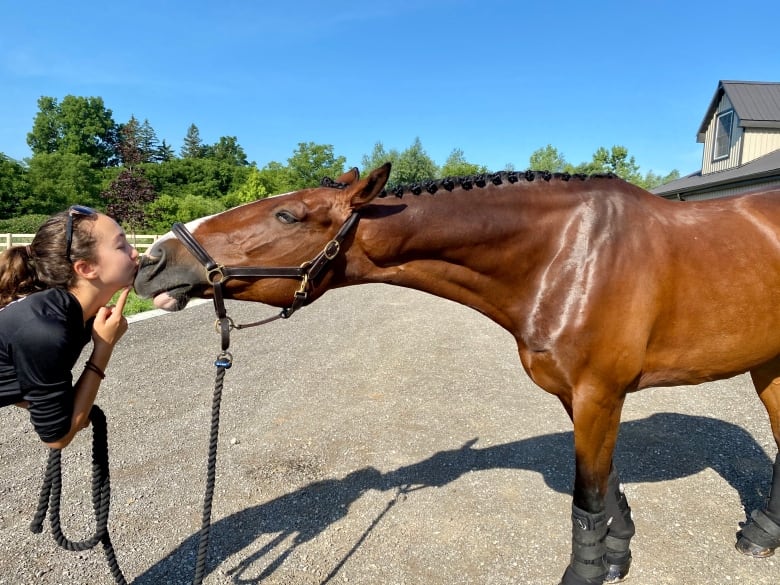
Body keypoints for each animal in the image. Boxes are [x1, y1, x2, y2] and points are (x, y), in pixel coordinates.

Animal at [134, 161, 780, 584]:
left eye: (288, 213)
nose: (154, 259)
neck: (569, 254)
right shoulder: (582, 397)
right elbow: (607, 483)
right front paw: (618, 555)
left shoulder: (600, 393)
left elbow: (588, 495)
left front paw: (591, 569)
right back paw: (761, 535)